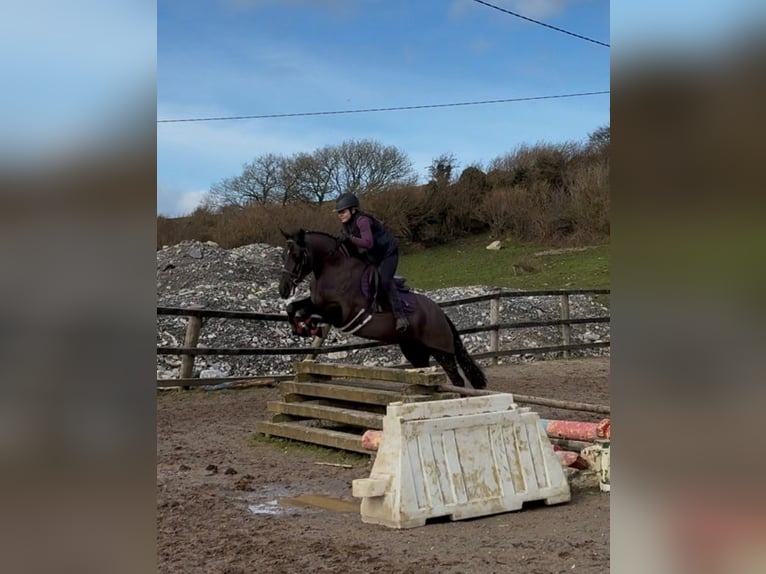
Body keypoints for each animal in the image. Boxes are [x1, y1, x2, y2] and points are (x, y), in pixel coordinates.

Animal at [278, 228, 487, 388]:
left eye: (296, 255)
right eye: (283, 255)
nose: (283, 289)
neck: (333, 269)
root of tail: (440, 313)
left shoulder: (342, 315)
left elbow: (311, 314)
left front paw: (310, 328)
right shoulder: (317, 303)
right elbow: (292, 308)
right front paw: (299, 329)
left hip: (441, 350)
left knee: (457, 379)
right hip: (414, 350)